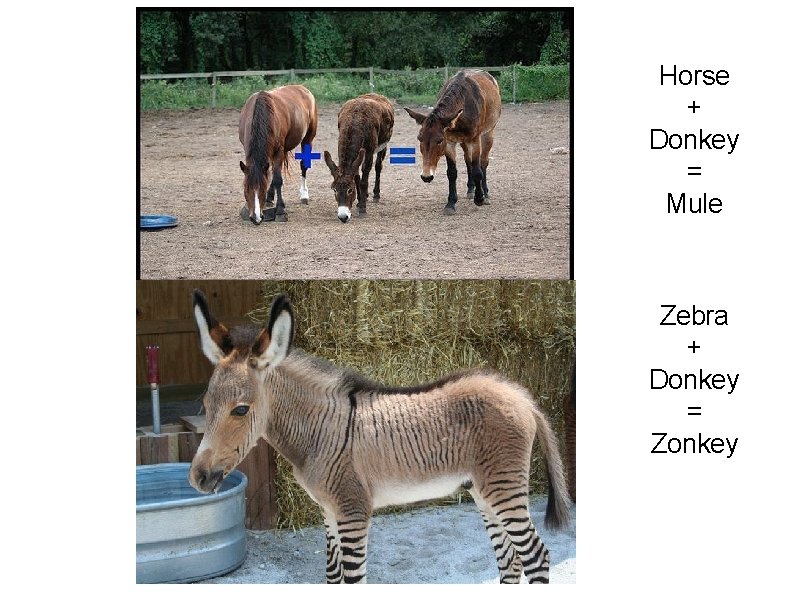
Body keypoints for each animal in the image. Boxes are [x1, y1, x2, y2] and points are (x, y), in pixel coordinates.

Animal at [189, 290, 572, 584]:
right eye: (205, 404)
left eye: (240, 410)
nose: (197, 478)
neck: (318, 432)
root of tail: (520, 395)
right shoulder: (329, 512)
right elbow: (332, 577)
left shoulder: (353, 510)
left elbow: (353, 580)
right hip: (483, 490)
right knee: (511, 561)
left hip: (503, 487)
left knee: (535, 557)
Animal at [238, 85, 318, 224]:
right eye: (245, 190)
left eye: (262, 190)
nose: (256, 218)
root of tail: (303, 89)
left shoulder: (278, 151)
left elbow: (277, 180)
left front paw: (280, 210)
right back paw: (270, 198)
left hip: (307, 139)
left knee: (303, 165)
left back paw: (304, 194)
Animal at [323, 93, 394, 222]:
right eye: (334, 189)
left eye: (350, 190)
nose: (343, 217)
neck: (354, 121)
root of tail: (376, 94)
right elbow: (356, 177)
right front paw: (360, 200)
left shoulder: (370, 151)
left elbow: (364, 179)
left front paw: (362, 208)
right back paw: (365, 195)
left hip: (383, 145)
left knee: (378, 166)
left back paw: (376, 194)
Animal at [404, 69, 501, 215]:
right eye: (419, 138)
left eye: (439, 141)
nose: (426, 176)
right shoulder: (450, 142)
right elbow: (452, 173)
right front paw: (450, 203)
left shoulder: (474, 140)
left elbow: (477, 170)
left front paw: (479, 198)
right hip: (464, 141)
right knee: (468, 161)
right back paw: (470, 189)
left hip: (488, 134)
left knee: (483, 162)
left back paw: (485, 194)